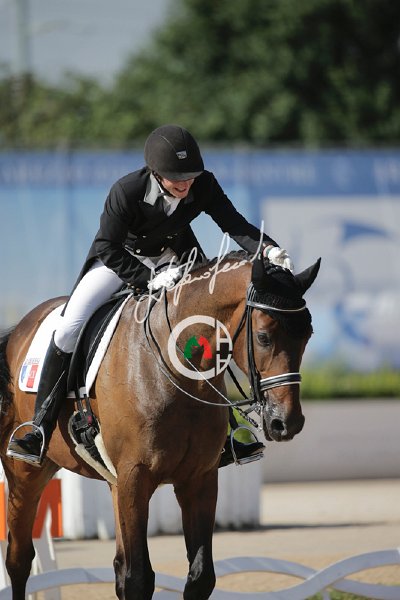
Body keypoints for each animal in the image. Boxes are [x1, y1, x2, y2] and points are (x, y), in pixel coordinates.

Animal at [0, 250, 320, 600]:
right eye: (263, 337)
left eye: (308, 335)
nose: (286, 422)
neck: (177, 370)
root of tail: (18, 330)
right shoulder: (135, 477)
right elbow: (139, 578)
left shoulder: (199, 479)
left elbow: (200, 576)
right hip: (26, 473)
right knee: (19, 558)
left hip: (111, 481)